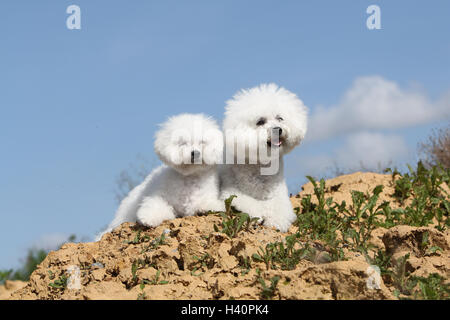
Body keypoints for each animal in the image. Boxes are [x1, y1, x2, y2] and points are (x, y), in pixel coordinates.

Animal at [97, 112, 225, 240]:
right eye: (183, 143)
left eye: (202, 142)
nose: (196, 153)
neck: (188, 177)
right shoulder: (159, 196)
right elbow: (156, 205)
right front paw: (148, 218)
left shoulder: (196, 201)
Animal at [220, 82, 308, 232]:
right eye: (260, 121)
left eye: (280, 118)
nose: (278, 129)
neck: (261, 165)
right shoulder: (231, 192)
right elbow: (251, 203)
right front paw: (260, 213)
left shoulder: (280, 195)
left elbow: (280, 208)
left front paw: (277, 221)